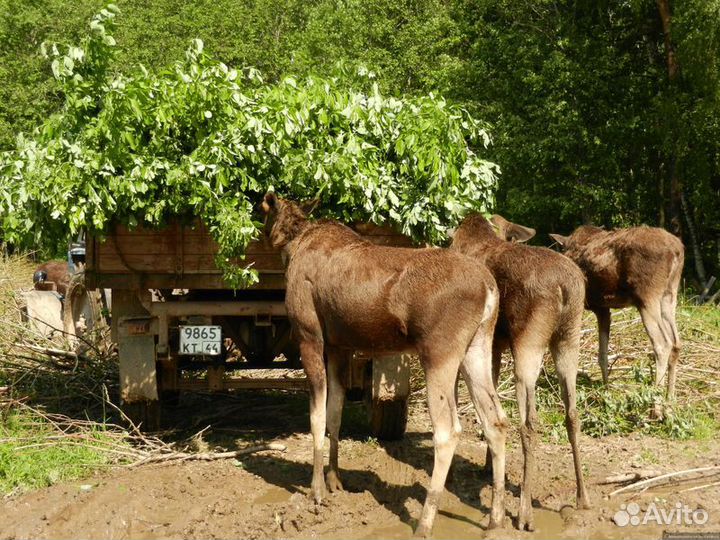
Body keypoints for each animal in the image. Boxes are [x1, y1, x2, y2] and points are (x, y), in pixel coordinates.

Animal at [262, 194, 510, 536]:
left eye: (263, 211)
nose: (263, 234)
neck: (292, 245)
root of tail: (490, 288)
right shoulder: (339, 345)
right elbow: (335, 413)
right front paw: (335, 479)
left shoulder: (309, 335)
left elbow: (316, 417)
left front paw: (317, 491)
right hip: (478, 347)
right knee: (496, 420)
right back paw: (495, 518)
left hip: (439, 352)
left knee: (448, 430)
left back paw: (425, 522)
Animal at [556, 224, 684, 400]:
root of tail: (677, 251)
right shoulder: (603, 308)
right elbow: (603, 355)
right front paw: (606, 390)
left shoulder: (589, 306)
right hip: (669, 296)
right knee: (676, 342)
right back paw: (670, 398)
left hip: (647, 298)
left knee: (663, 344)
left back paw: (656, 401)